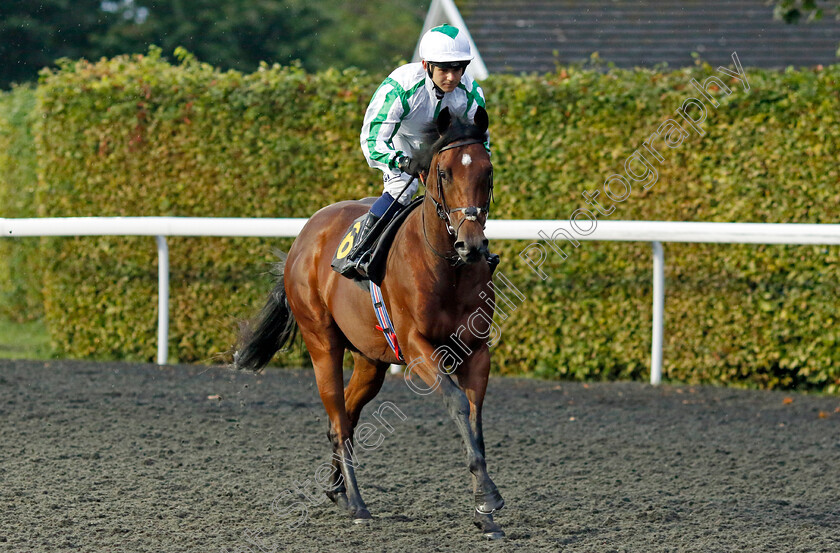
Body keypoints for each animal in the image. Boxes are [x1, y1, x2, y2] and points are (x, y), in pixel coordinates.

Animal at [233, 105, 502, 536]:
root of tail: (304, 235)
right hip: (322, 343)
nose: (472, 245)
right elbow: (457, 404)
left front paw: (486, 508)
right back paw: (357, 504)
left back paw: (337, 492)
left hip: (370, 360)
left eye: (487, 170)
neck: (447, 269)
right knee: (340, 422)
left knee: (346, 416)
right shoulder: (417, 347)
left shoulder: (476, 350)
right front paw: (487, 500)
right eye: (444, 173)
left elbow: (475, 418)